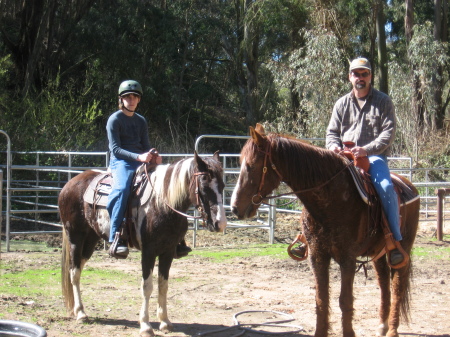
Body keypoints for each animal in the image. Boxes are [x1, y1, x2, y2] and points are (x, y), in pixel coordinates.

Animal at [59, 152, 227, 336]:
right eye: (204, 185)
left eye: (223, 185)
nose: (220, 224)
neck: (161, 203)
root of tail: (70, 183)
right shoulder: (148, 251)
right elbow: (147, 286)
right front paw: (146, 325)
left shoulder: (168, 251)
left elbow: (163, 285)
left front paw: (165, 322)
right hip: (75, 237)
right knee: (74, 272)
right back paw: (81, 313)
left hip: (90, 239)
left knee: (78, 268)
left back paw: (76, 309)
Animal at [230, 124, 420, 336]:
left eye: (251, 166)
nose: (234, 208)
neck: (331, 198)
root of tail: (409, 185)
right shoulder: (317, 256)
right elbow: (321, 300)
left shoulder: (347, 259)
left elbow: (345, 301)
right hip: (377, 252)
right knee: (384, 283)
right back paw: (382, 325)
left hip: (403, 248)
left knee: (397, 285)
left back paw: (392, 329)